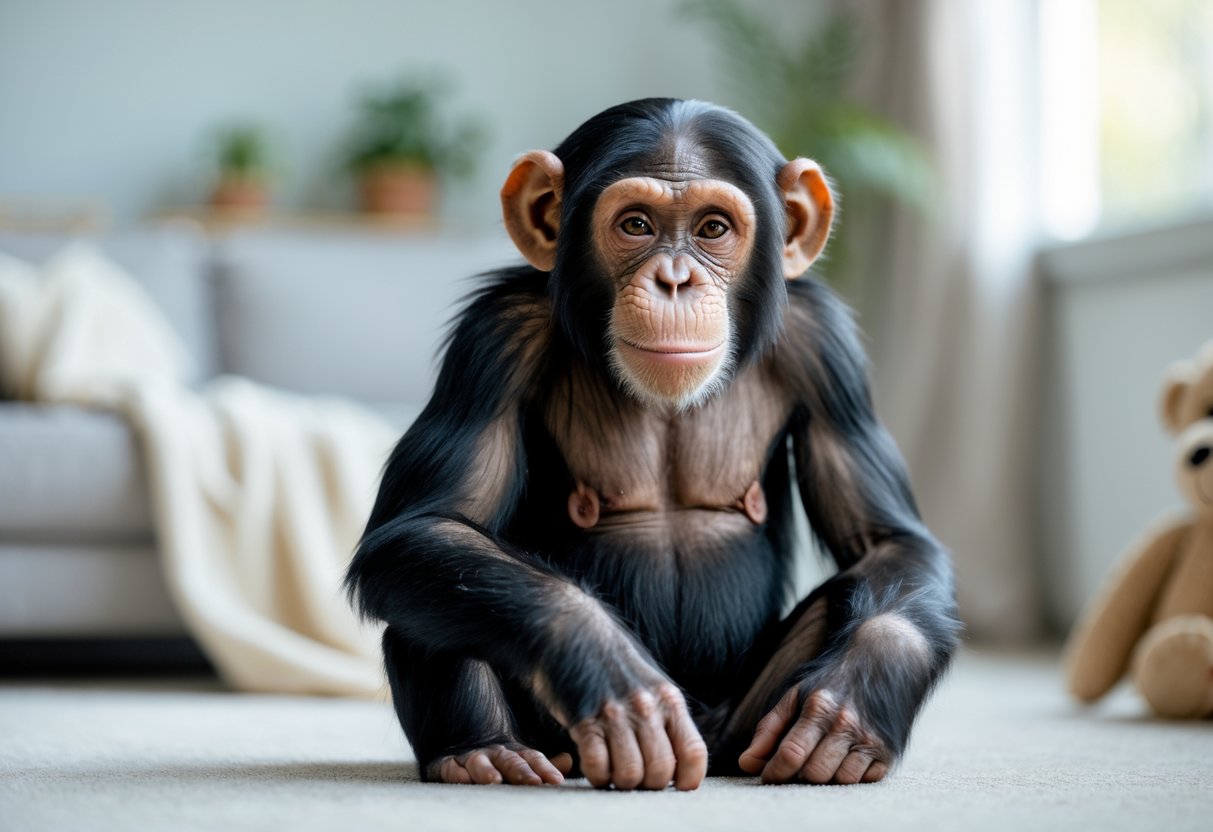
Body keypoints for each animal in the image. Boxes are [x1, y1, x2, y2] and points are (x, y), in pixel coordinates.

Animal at [346, 98, 960, 790]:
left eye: (713, 228)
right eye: (636, 225)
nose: (674, 279)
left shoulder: (827, 351)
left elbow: (885, 540)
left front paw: (857, 694)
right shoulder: (492, 341)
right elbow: (426, 526)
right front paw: (601, 663)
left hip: (742, 734)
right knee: (432, 585)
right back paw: (482, 751)